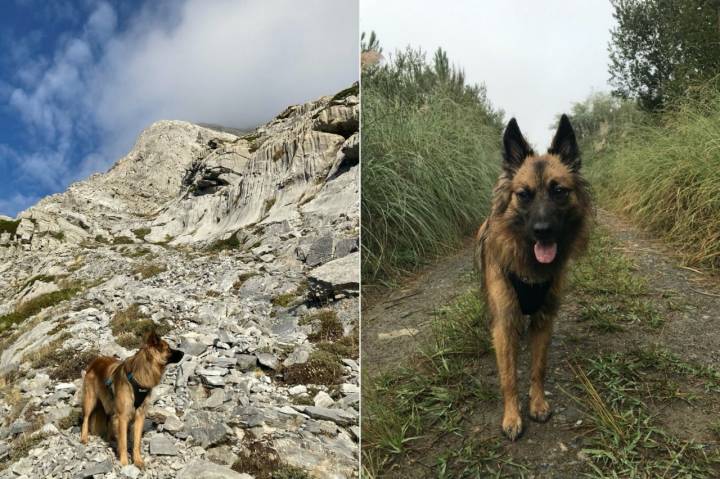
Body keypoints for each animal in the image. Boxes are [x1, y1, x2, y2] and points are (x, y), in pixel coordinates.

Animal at [79, 332, 183, 466]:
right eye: (169, 349)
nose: (183, 353)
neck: (141, 374)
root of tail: (95, 361)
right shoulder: (123, 416)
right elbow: (123, 441)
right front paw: (124, 462)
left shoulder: (140, 415)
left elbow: (136, 442)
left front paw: (138, 460)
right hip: (90, 400)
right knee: (86, 418)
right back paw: (84, 437)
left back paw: (111, 438)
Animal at [472, 113, 592, 442]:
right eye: (524, 195)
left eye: (559, 191)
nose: (542, 231)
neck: (529, 266)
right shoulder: (504, 322)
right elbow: (509, 376)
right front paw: (512, 417)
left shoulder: (543, 319)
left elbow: (539, 368)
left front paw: (537, 404)